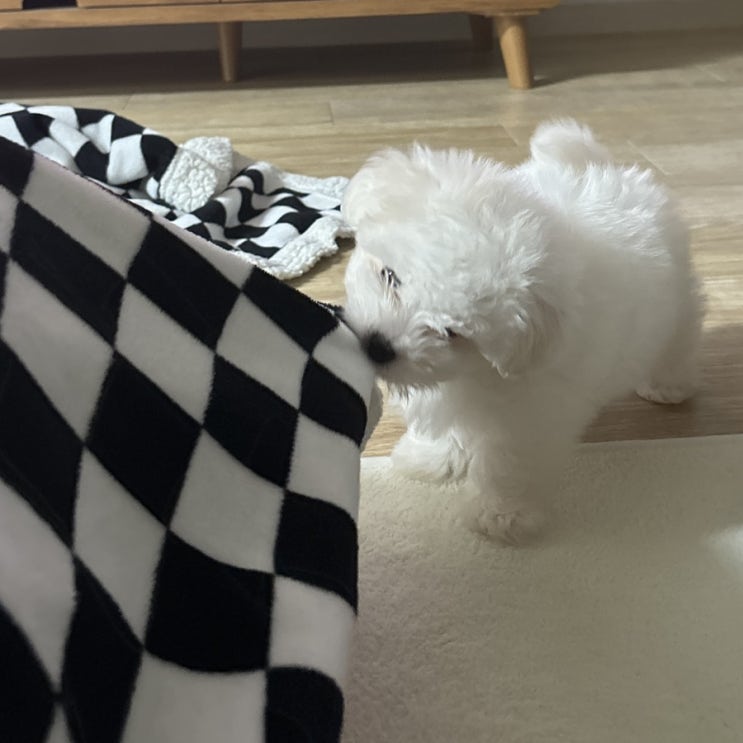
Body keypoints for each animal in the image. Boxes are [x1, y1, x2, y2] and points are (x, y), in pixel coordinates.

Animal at [340, 119, 704, 544]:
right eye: (390, 276)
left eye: (452, 331)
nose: (378, 345)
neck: (477, 372)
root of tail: (606, 169)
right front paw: (431, 457)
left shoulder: (530, 413)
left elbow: (507, 462)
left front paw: (501, 516)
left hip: (677, 302)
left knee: (680, 337)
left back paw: (668, 385)